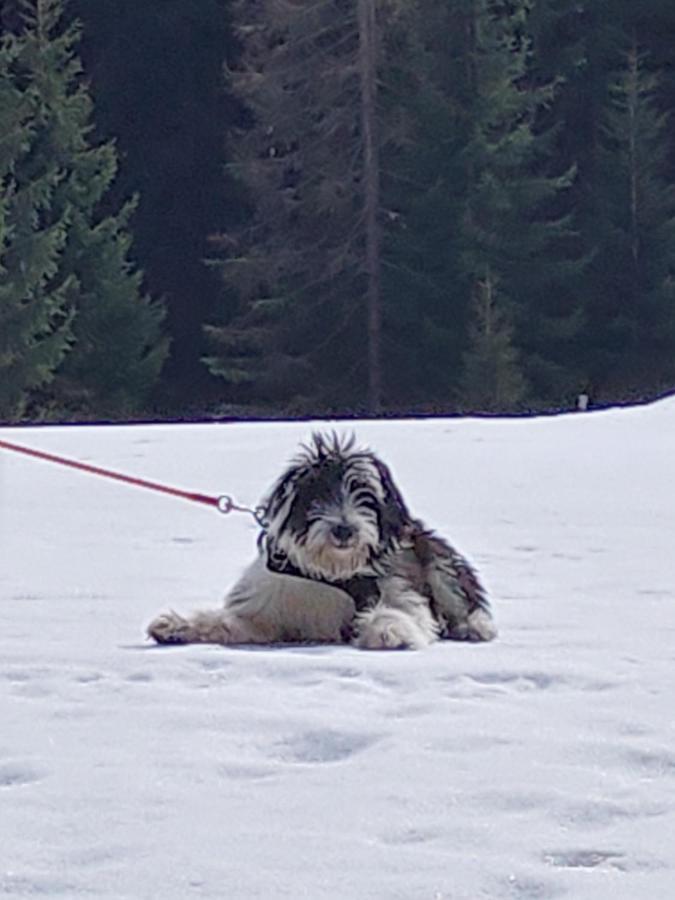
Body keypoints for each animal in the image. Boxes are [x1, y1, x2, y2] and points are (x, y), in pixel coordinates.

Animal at [148, 434, 496, 652]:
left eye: (366, 498)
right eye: (318, 495)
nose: (344, 529)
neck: (331, 571)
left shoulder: (397, 586)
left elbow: (406, 612)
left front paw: (389, 630)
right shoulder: (268, 610)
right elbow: (235, 623)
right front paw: (175, 626)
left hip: (436, 558)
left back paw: (474, 626)